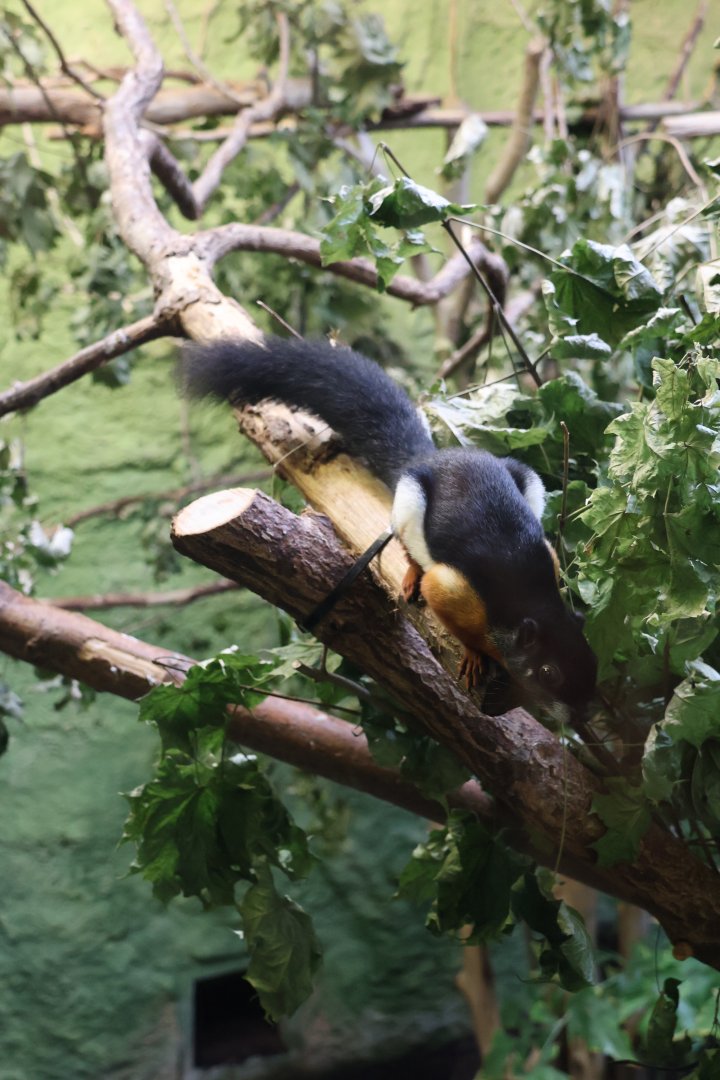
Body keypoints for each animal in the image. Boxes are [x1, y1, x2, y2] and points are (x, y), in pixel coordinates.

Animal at [182, 335, 597, 717]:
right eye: (548, 672)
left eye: (590, 661)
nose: (583, 713)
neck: (530, 598)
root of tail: (431, 458)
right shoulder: (455, 589)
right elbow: (451, 609)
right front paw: (474, 656)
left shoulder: (548, 558)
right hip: (410, 501)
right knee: (405, 541)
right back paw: (412, 572)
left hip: (527, 481)